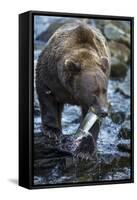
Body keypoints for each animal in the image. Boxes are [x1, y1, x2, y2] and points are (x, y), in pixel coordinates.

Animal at [35, 22, 111, 156]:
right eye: (93, 92)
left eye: (104, 90)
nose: (104, 112)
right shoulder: (50, 74)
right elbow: (46, 95)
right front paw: (52, 131)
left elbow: (91, 120)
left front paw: (85, 150)